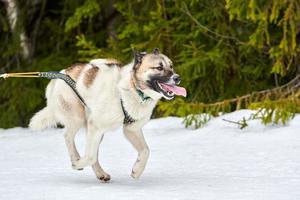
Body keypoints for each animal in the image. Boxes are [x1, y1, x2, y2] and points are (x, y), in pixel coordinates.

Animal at [29, 48, 186, 181]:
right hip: (78, 119)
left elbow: (145, 151)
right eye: (159, 67)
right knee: (68, 136)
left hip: (96, 133)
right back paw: (76, 159)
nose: (177, 78)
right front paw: (78, 164)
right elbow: (90, 156)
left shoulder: (131, 129)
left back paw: (100, 174)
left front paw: (137, 170)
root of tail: (60, 74)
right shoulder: (96, 125)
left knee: (92, 152)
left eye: (171, 66)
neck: (131, 88)